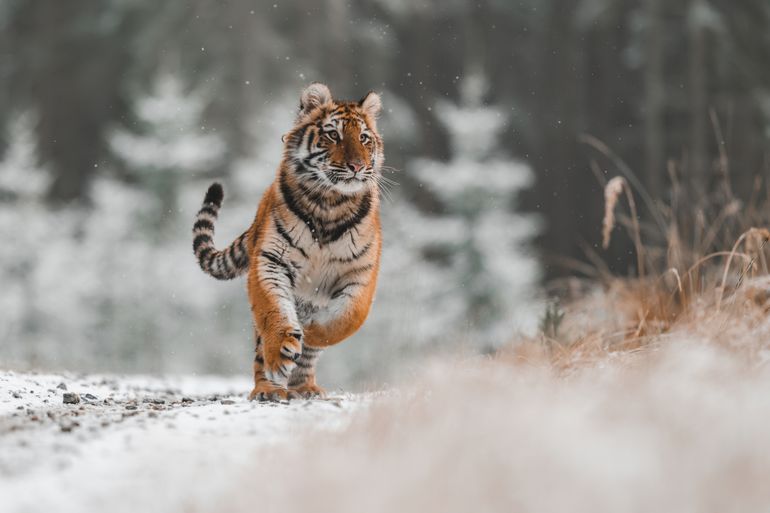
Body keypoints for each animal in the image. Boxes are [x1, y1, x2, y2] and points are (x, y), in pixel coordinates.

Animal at [190, 83, 382, 400]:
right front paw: (283, 349)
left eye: (364, 138)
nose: (356, 166)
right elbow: (274, 309)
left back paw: (305, 386)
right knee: (261, 352)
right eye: (334, 135)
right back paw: (269, 388)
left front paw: (311, 333)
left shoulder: (361, 273)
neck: (330, 202)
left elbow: (347, 318)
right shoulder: (272, 260)